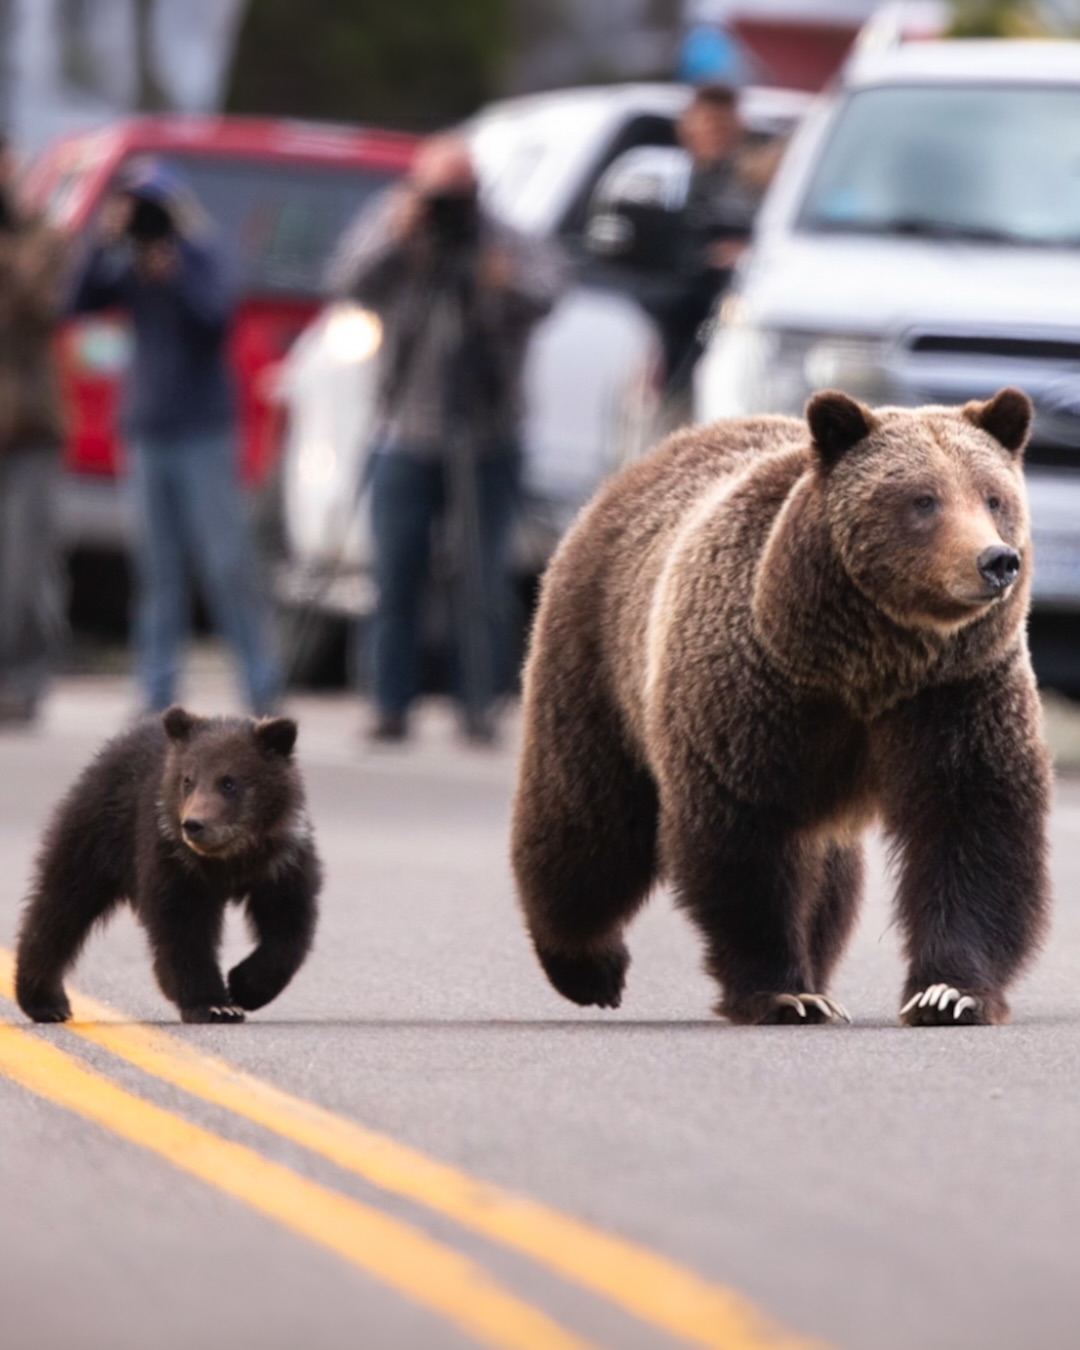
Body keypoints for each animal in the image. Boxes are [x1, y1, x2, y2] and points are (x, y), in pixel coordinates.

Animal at [15, 706, 322, 1025]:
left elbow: (288, 924)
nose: (194, 824)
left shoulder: (280, 863)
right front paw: (213, 1004)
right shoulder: (175, 862)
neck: (230, 860)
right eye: (188, 780)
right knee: (62, 903)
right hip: (99, 831)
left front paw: (245, 986)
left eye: (229, 782)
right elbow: (182, 929)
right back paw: (46, 1001)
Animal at [511, 387, 1051, 1026]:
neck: (865, 665)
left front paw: (948, 993)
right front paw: (783, 993)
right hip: (598, 655)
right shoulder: (755, 698)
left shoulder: (954, 693)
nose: (996, 560)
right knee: (590, 824)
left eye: (994, 497)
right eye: (923, 500)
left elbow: (973, 826)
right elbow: (747, 843)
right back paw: (587, 965)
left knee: (828, 874)